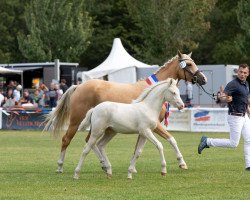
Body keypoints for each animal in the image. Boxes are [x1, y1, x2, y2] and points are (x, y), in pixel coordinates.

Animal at [43, 51, 207, 173]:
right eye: (189, 64)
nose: (203, 79)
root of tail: (78, 86)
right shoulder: (155, 126)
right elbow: (171, 139)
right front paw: (182, 163)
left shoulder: (145, 128)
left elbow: (138, 149)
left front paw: (132, 168)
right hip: (76, 121)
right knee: (67, 140)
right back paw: (60, 167)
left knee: (90, 141)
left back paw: (104, 164)